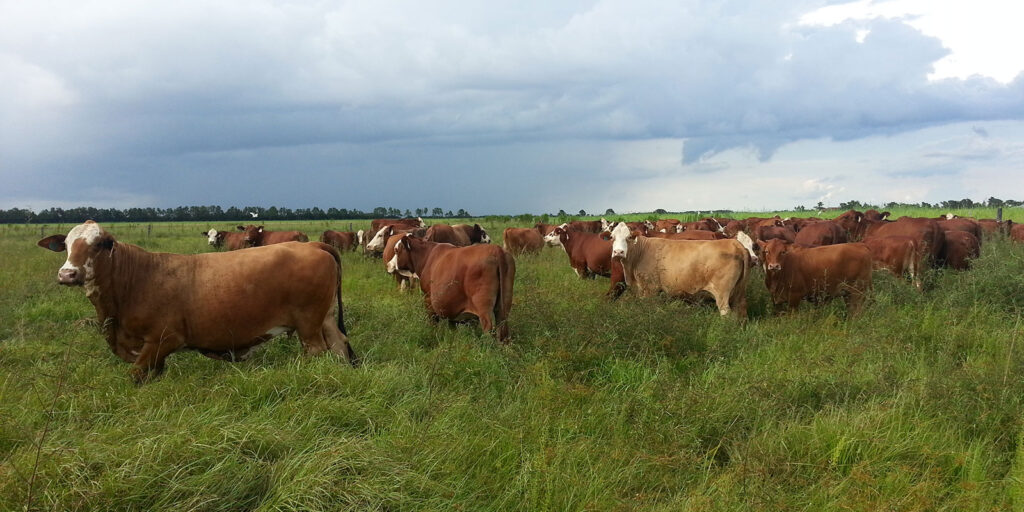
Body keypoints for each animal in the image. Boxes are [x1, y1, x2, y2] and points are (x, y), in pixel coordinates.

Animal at [38, 221, 357, 383]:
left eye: (100, 244)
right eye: (66, 245)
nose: (67, 274)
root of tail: (312, 244)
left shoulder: (162, 340)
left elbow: (135, 374)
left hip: (308, 324)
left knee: (316, 351)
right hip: (325, 319)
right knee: (339, 345)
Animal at [386, 234, 515, 341]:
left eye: (396, 250)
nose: (388, 265)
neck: (427, 257)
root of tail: (497, 249)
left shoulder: (428, 299)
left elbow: (433, 322)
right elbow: (453, 327)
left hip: (483, 307)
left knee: (489, 329)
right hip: (504, 305)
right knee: (503, 327)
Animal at [609, 223, 752, 319]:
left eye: (628, 237)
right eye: (612, 237)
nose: (618, 252)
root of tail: (736, 244)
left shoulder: (650, 289)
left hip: (722, 294)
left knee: (726, 313)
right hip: (739, 291)